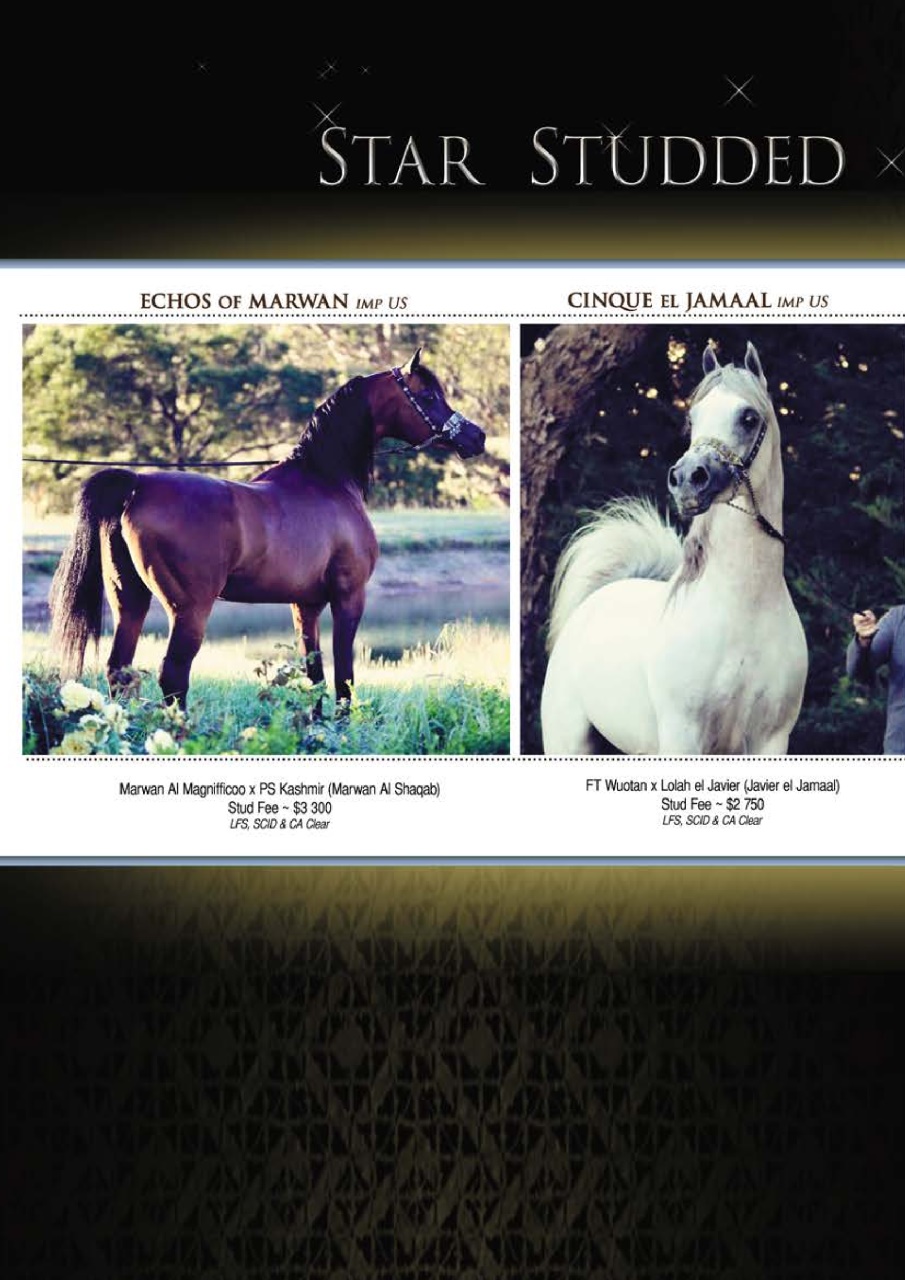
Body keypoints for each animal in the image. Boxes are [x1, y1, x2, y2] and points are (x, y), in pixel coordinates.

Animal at [50, 349, 486, 710]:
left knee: (119, 671)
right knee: (172, 675)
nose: (476, 437)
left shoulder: (305, 605)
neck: (325, 478)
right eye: (428, 397)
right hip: (189, 610)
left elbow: (315, 675)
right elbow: (344, 677)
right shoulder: (348, 597)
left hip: (130, 601)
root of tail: (137, 485)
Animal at [540, 341, 807, 755]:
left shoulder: (772, 740)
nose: (687, 479)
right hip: (568, 745)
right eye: (693, 419)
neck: (742, 610)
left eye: (748, 417)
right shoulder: (683, 736)